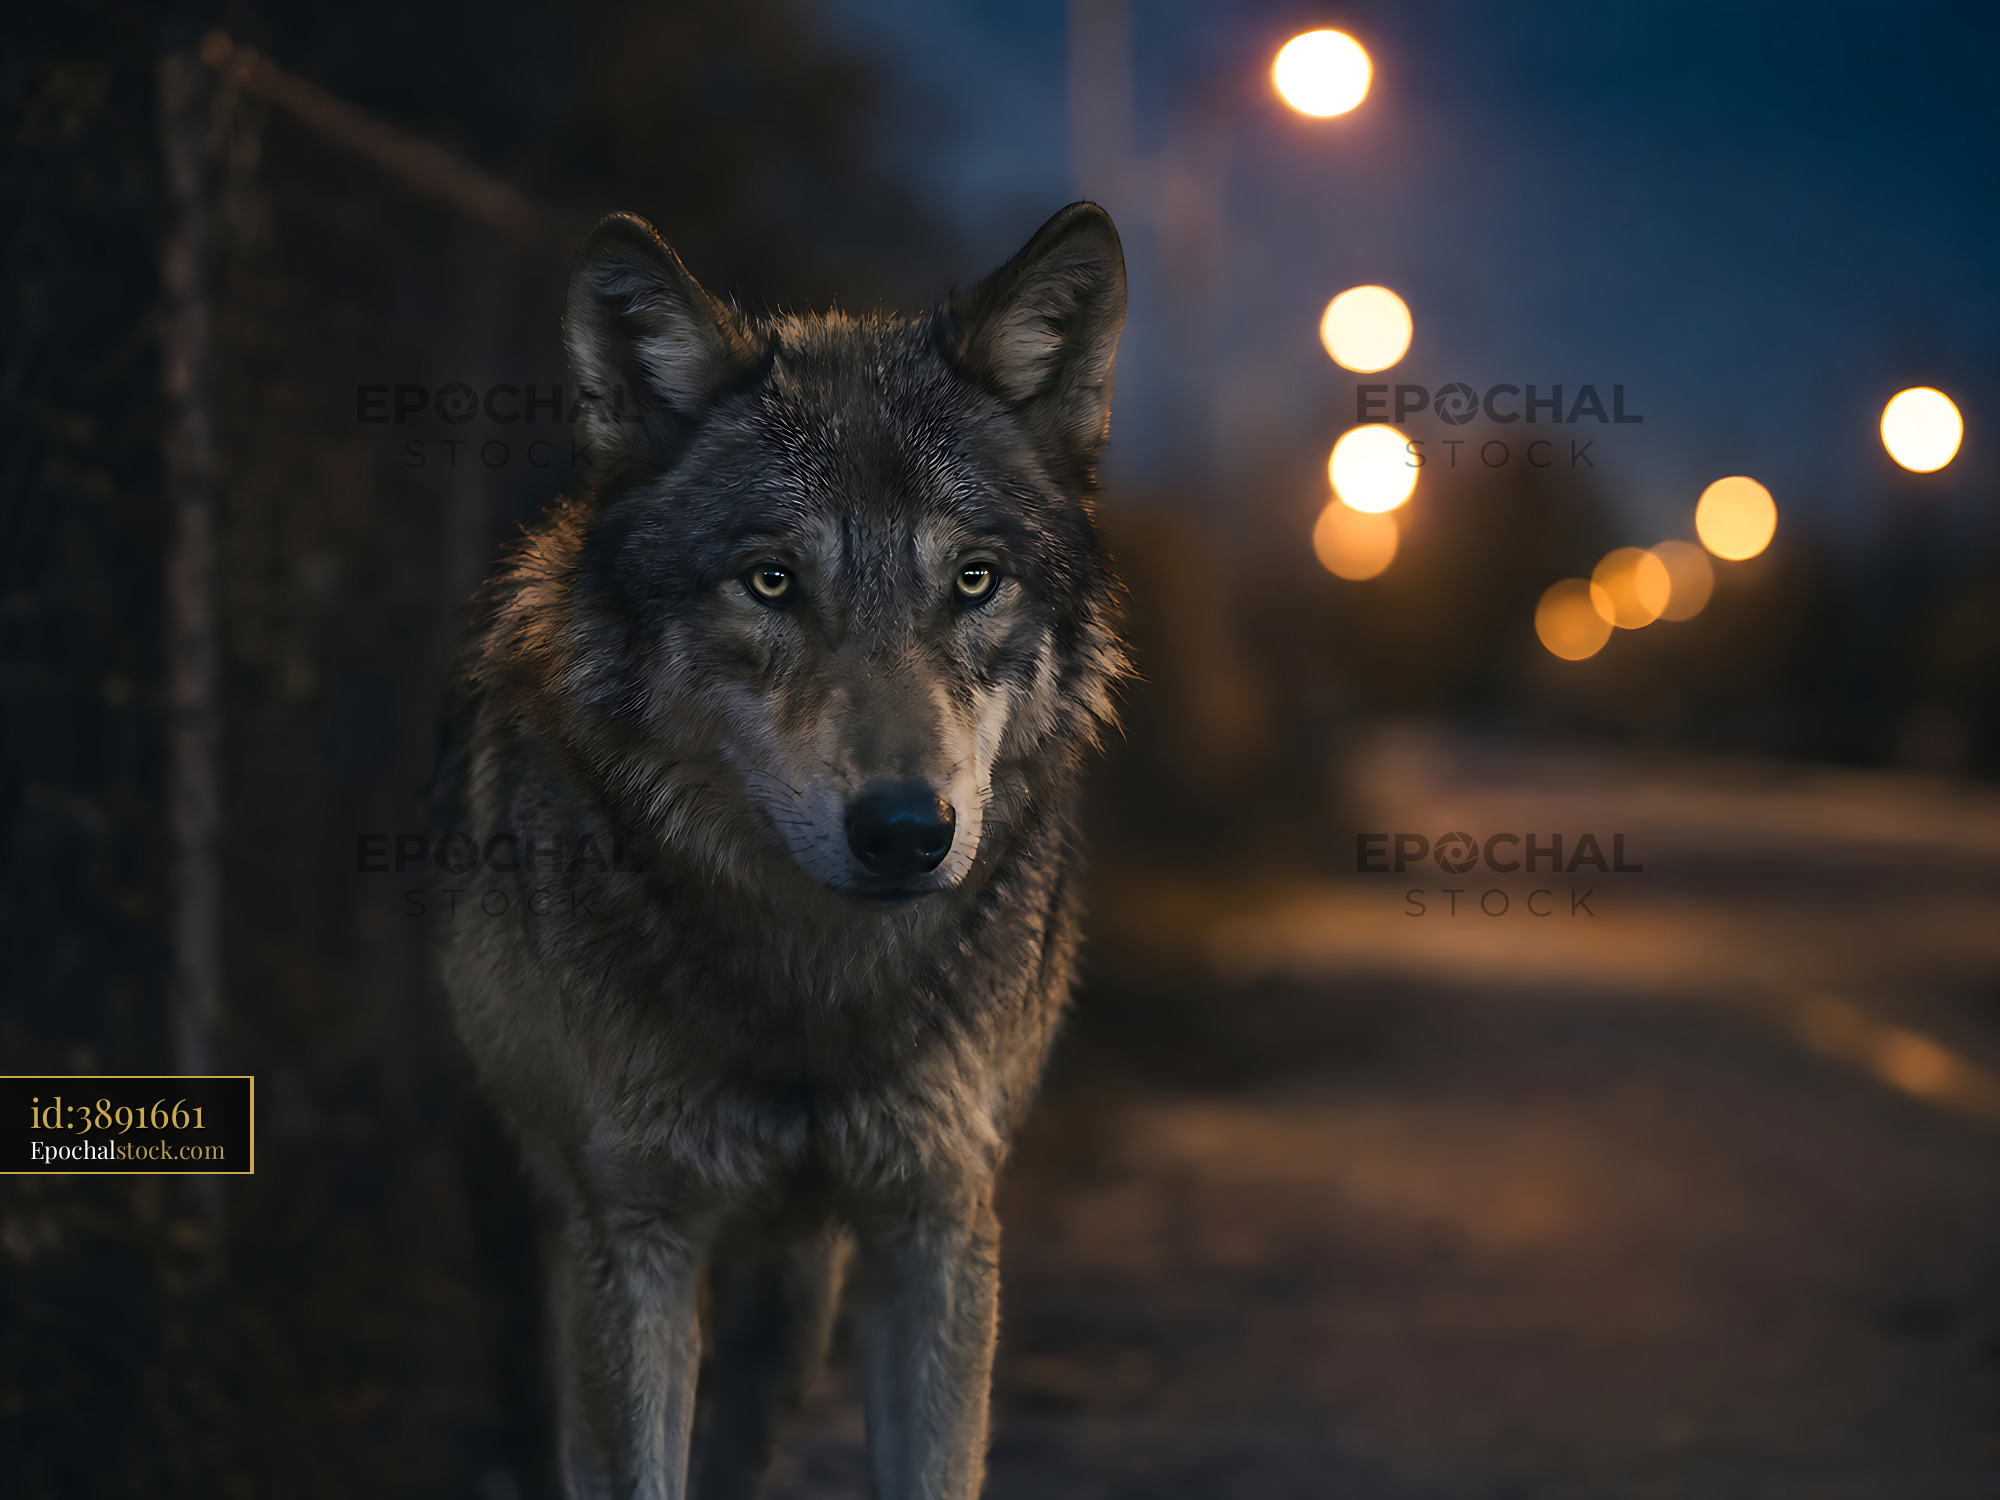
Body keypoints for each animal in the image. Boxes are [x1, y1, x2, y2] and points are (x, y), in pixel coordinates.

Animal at [437, 201, 1127, 1500]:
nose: (906, 831)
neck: (815, 984)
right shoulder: (632, 1240)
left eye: (974, 581)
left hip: (794, 1299)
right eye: (770, 581)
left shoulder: (935, 1224)